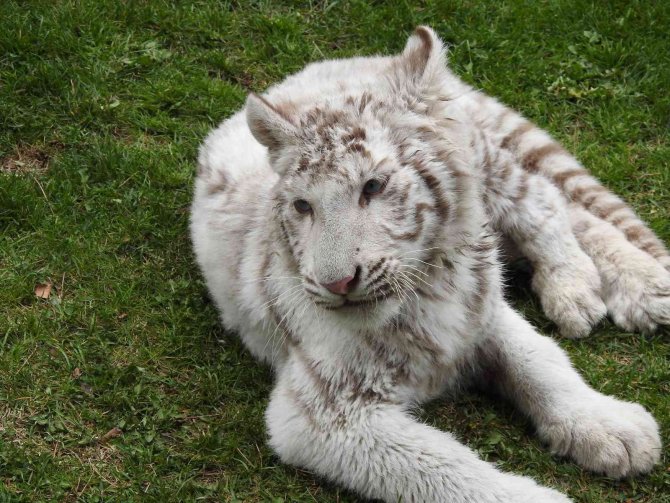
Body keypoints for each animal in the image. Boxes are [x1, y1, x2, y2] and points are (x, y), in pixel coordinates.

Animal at [189, 26, 668, 503]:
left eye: (373, 187)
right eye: (302, 206)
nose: (337, 283)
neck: (432, 288)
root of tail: (360, 60)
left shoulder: (482, 308)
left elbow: (541, 362)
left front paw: (609, 424)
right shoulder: (322, 414)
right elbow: (446, 467)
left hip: (488, 165)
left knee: (547, 198)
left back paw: (600, 287)